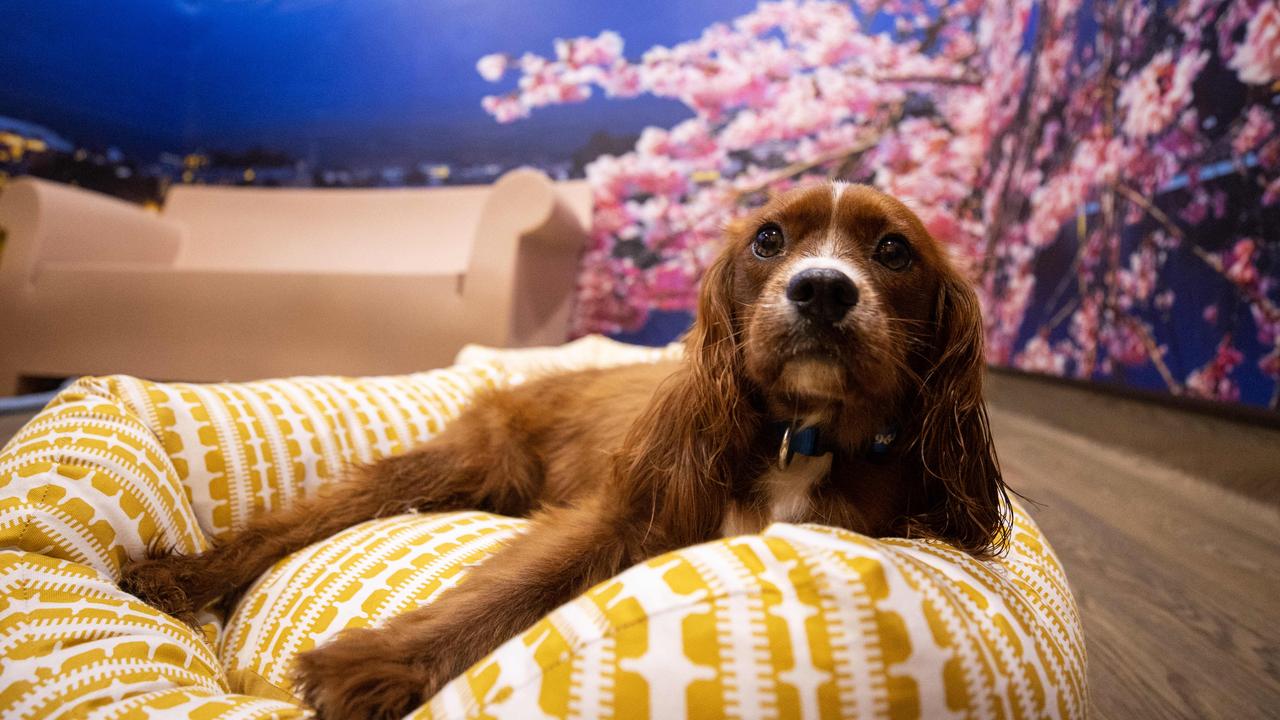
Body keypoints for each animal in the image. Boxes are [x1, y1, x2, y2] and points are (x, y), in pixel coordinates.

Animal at [124, 181, 1013, 712]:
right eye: (769, 240)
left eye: (893, 250)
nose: (822, 288)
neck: (803, 433)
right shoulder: (618, 517)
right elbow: (509, 593)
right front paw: (375, 666)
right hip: (466, 460)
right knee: (300, 520)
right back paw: (179, 577)